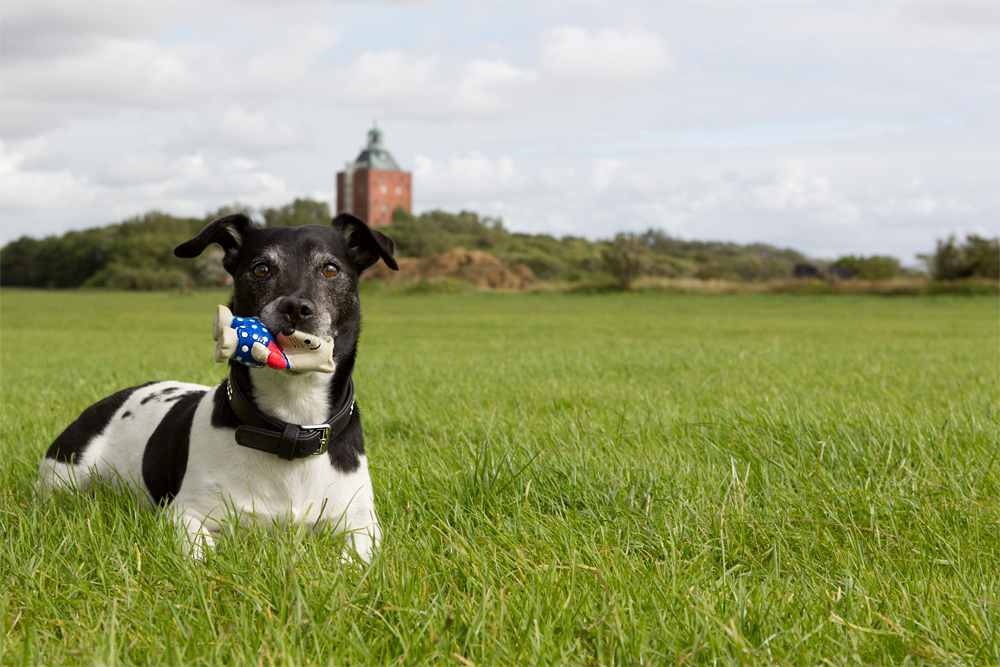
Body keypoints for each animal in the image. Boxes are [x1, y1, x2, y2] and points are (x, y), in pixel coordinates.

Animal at [39, 211, 398, 560]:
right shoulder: (183, 513)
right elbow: (203, 553)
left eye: (330, 269)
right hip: (63, 477)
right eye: (261, 269)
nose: (296, 307)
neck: (291, 422)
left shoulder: (363, 523)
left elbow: (357, 560)